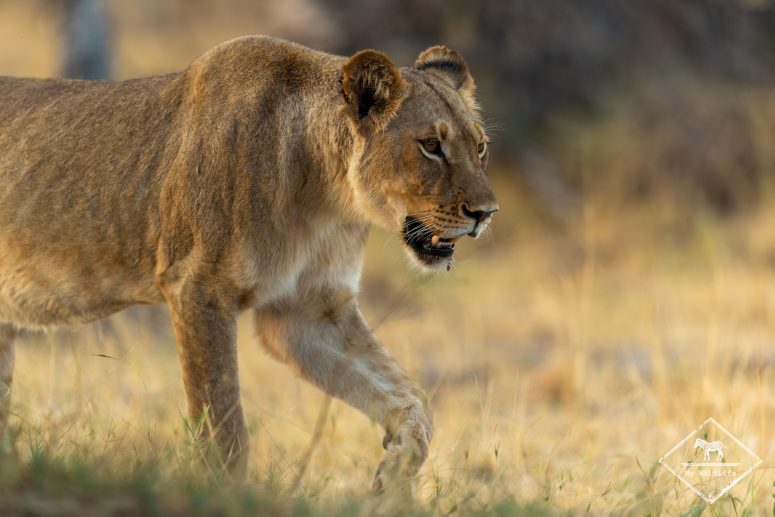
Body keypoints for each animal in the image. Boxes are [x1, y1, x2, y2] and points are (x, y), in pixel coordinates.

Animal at [0, 36, 497, 492]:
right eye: (431, 145)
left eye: (480, 148)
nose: (486, 213)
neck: (325, 198)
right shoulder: (197, 290)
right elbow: (223, 427)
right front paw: (223, 494)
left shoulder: (307, 314)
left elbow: (412, 402)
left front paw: (390, 480)